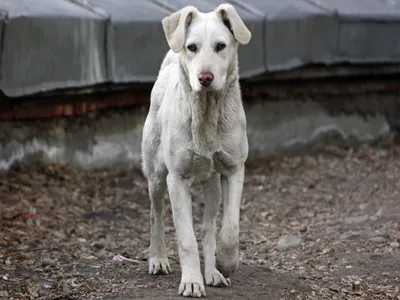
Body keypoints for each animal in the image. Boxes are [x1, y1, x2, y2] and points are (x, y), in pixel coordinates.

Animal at [141, 2, 250, 298]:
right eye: (192, 47)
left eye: (221, 46)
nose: (205, 78)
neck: (207, 113)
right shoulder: (176, 179)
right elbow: (186, 238)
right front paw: (191, 281)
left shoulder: (234, 170)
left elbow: (229, 228)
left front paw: (226, 263)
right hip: (156, 175)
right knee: (156, 215)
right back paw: (158, 259)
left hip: (212, 187)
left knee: (210, 228)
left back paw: (212, 272)